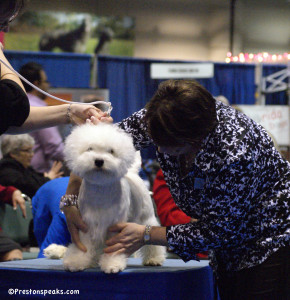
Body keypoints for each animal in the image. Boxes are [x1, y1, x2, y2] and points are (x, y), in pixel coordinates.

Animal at [43, 123, 165, 274]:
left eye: (111, 151)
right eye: (89, 148)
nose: (99, 161)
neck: (101, 188)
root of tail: (133, 173)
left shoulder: (115, 226)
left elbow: (114, 247)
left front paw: (113, 264)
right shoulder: (86, 224)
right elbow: (84, 245)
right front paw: (76, 261)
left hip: (146, 217)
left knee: (151, 242)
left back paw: (153, 259)